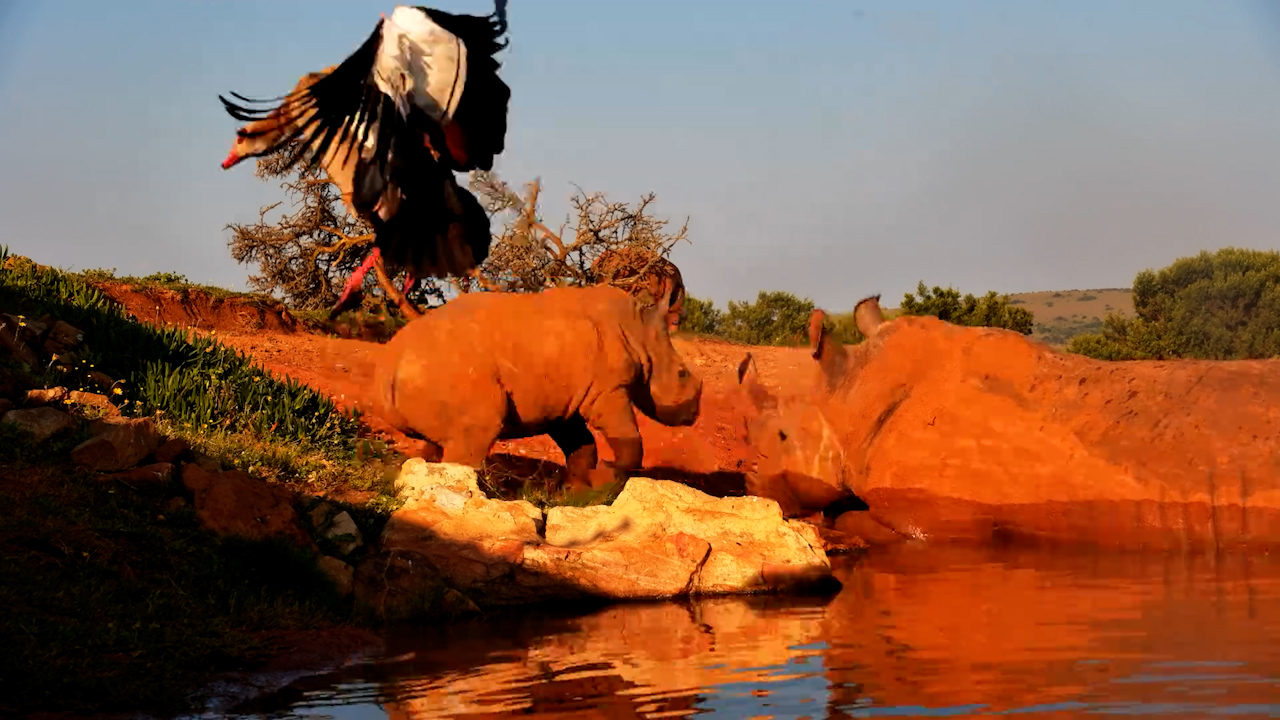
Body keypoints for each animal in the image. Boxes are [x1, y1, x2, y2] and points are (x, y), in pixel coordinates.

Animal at [373, 279, 702, 489]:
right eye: (682, 374)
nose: (693, 415)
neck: (640, 332)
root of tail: (391, 363)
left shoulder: (564, 403)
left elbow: (581, 445)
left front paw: (574, 492)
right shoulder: (608, 391)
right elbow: (629, 441)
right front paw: (607, 479)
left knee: (437, 440)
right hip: (449, 368)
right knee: (475, 434)